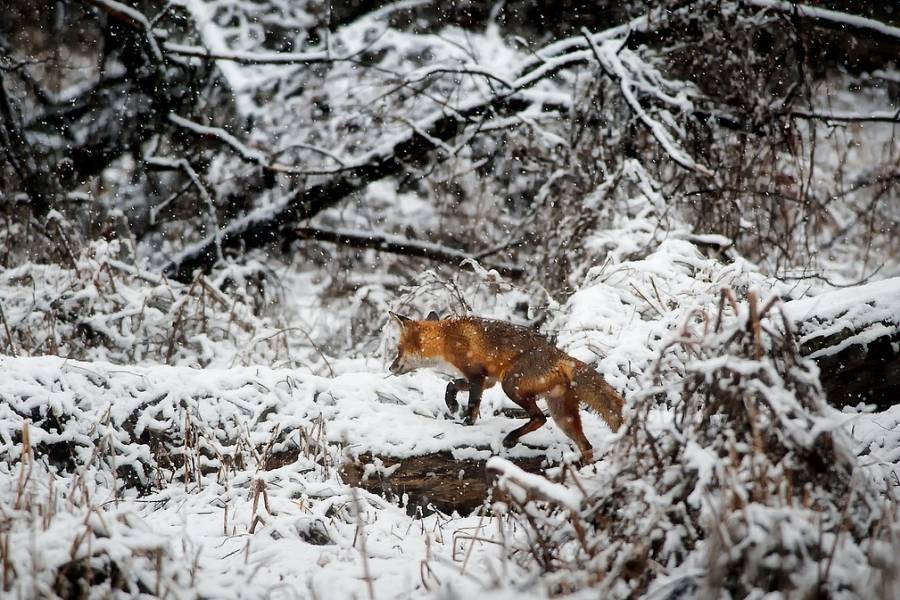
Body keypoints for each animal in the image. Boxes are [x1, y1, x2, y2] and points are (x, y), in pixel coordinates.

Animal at [386, 312, 624, 462]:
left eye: (398, 349)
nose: (390, 367)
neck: (446, 338)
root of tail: (561, 356)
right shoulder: (488, 379)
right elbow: (451, 384)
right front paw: (452, 404)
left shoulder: (477, 375)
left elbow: (472, 405)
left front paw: (466, 424)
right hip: (562, 415)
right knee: (586, 446)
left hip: (512, 386)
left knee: (540, 418)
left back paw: (511, 438)